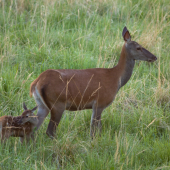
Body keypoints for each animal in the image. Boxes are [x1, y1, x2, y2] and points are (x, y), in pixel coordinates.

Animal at [29, 26, 157, 138]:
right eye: (138, 47)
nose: (154, 57)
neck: (116, 78)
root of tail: (36, 83)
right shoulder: (99, 102)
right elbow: (94, 131)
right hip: (58, 103)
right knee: (49, 131)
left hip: (42, 104)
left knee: (34, 128)